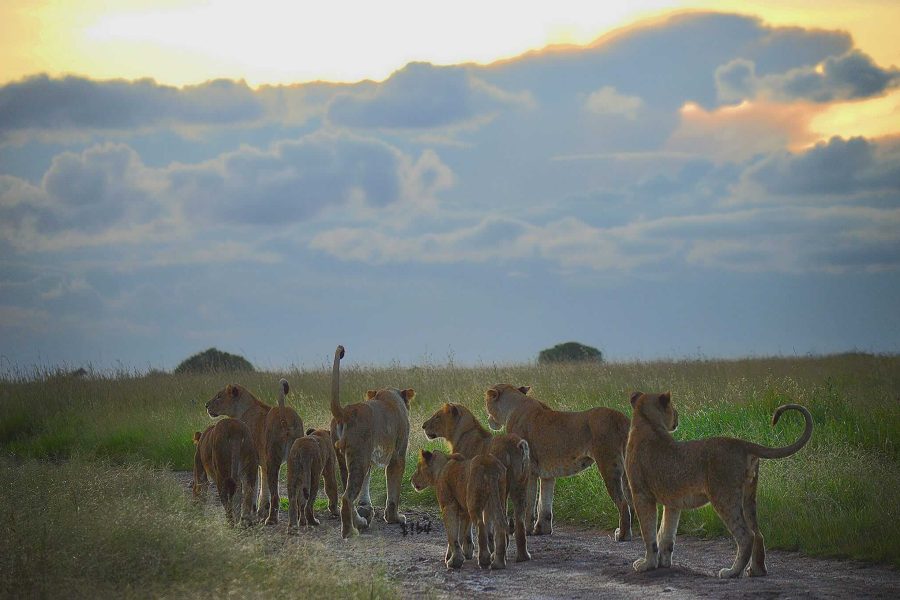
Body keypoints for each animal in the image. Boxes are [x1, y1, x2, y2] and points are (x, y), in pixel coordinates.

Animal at [206, 380, 304, 524]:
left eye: (219, 396)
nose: (206, 405)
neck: (242, 409)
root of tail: (286, 417)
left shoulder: (252, 460)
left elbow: (252, 487)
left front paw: (251, 513)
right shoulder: (263, 463)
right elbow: (263, 489)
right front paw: (260, 512)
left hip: (273, 460)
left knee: (276, 495)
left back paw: (271, 519)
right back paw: (299, 517)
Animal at [328, 346, 416, 540]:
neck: (389, 394)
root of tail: (346, 411)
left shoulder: (369, 459)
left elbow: (365, 488)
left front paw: (367, 508)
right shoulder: (398, 456)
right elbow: (393, 490)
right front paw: (394, 518)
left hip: (346, 459)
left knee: (348, 494)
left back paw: (360, 522)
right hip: (359, 458)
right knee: (347, 497)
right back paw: (350, 531)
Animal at [426, 400, 532, 560]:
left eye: (437, 416)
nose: (423, 426)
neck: (461, 433)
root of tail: (516, 444)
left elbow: (467, 523)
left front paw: (466, 549)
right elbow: (485, 519)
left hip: (502, 488)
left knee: (501, 518)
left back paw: (497, 554)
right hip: (519, 486)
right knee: (519, 521)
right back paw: (522, 556)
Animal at [486, 384, 632, 540]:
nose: (488, 419)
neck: (512, 407)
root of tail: (621, 418)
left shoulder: (528, 471)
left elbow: (529, 503)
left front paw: (526, 530)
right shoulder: (547, 474)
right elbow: (544, 504)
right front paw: (542, 530)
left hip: (609, 466)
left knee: (623, 503)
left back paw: (622, 535)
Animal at [628, 392, 812, 580]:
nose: (678, 417)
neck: (648, 423)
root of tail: (741, 443)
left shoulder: (641, 495)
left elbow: (649, 533)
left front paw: (647, 565)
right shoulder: (672, 501)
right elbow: (665, 533)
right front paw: (663, 563)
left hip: (724, 496)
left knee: (747, 535)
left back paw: (732, 572)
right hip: (748, 496)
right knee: (758, 534)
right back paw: (756, 571)